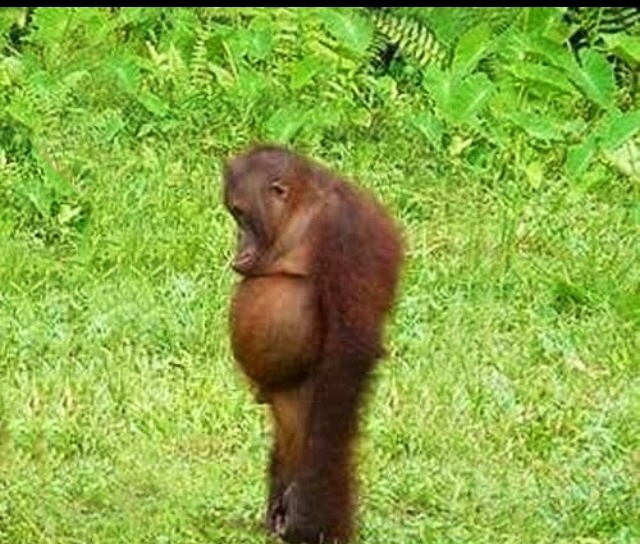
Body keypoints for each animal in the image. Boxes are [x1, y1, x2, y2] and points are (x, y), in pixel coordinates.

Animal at [224, 144, 403, 543]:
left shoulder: (345, 232)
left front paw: (305, 512)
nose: (238, 244)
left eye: (241, 214)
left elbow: (351, 346)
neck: (300, 213)